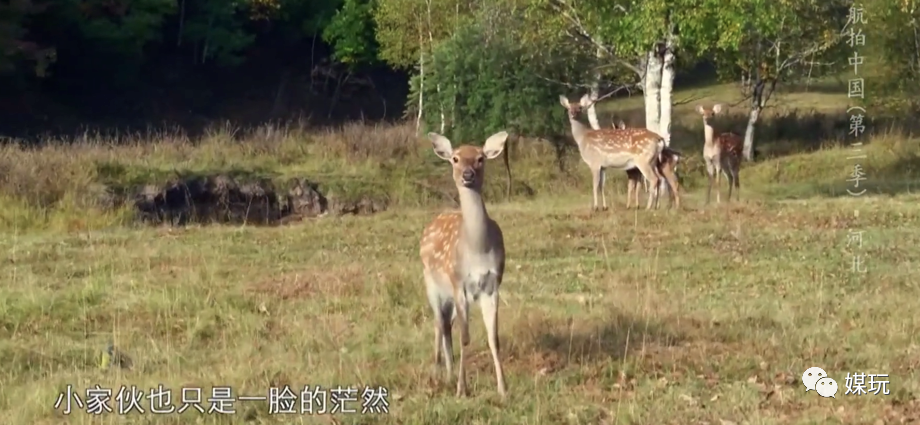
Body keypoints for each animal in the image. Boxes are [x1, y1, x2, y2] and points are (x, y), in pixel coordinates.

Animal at [418, 130, 506, 398]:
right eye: (455, 158)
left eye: (480, 158)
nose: (468, 175)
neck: (478, 250)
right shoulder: (459, 283)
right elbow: (465, 337)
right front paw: (461, 389)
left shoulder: (492, 284)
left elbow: (493, 337)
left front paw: (503, 388)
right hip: (432, 283)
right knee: (438, 323)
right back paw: (437, 372)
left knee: (447, 324)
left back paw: (447, 371)